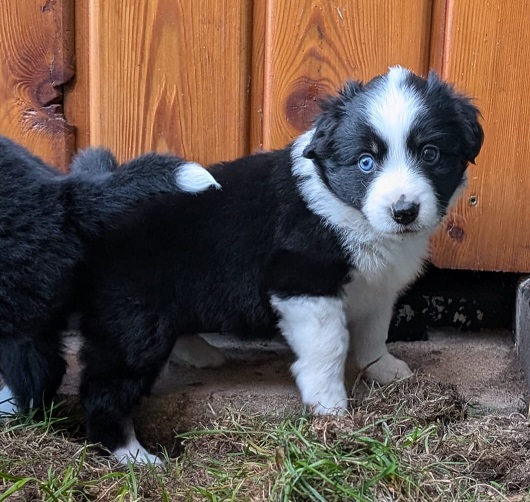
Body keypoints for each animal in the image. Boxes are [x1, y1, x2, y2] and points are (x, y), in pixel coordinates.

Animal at [78, 67, 483, 464]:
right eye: (366, 162)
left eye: (430, 154)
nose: (404, 211)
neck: (349, 212)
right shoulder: (304, 284)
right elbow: (329, 346)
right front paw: (330, 410)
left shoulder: (376, 287)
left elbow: (373, 332)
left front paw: (382, 368)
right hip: (135, 323)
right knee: (103, 391)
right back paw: (133, 455)